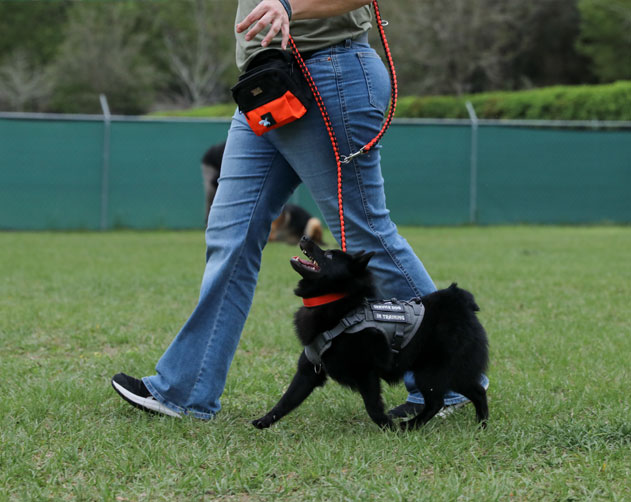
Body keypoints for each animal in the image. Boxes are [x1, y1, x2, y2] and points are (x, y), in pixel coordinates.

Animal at [254, 237, 492, 430]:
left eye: (328, 254)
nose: (304, 236)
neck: (338, 306)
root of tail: (459, 300)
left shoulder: (365, 373)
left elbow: (373, 408)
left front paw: (388, 427)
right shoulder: (309, 371)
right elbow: (287, 400)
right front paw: (264, 421)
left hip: (432, 371)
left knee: (437, 402)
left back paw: (410, 426)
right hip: (449, 372)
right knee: (477, 391)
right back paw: (480, 426)